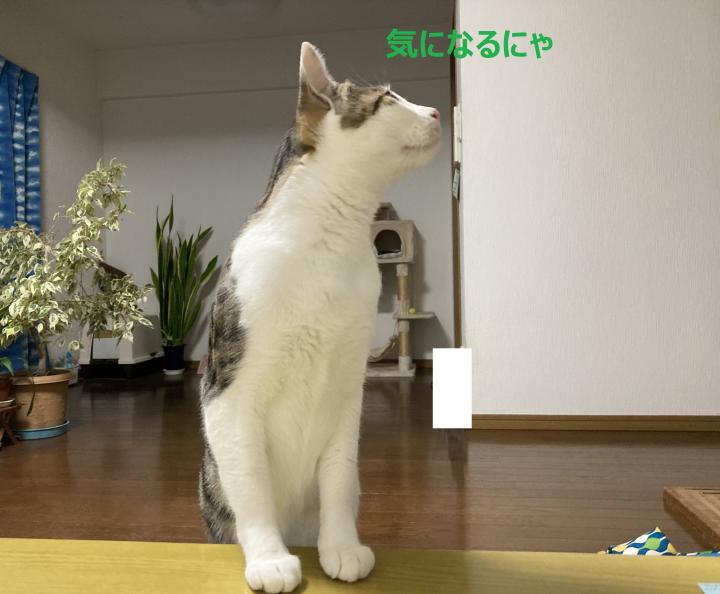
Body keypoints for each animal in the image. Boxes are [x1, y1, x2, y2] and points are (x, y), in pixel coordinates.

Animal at [199, 42, 440, 593]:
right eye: (389, 99)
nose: (438, 111)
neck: (331, 240)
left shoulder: (349, 387)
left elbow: (339, 475)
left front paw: (342, 547)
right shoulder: (227, 394)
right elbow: (251, 485)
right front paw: (269, 558)